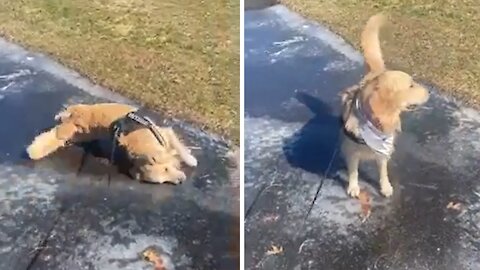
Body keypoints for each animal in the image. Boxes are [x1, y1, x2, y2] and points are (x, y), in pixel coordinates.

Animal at [25, 103, 198, 184]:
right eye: (164, 178)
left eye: (167, 170)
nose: (181, 180)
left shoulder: (166, 133)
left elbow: (179, 149)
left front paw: (189, 158)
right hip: (76, 129)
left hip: (76, 127)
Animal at [340, 13, 430, 197]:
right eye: (411, 85)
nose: (429, 92)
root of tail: (377, 72)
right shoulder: (352, 151)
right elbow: (354, 171)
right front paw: (353, 186)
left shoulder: (383, 151)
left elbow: (383, 170)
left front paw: (385, 186)